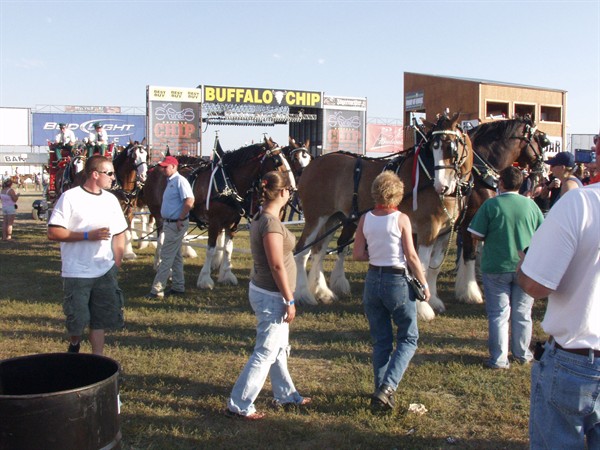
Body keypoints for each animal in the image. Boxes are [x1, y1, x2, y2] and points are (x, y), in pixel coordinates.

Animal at [292, 114, 472, 322]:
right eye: (432, 147)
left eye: (451, 146)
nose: (441, 186)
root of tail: (312, 165)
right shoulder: (428, 230)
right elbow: (422, 267)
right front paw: (423, 309)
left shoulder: (443, 233)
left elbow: (434, 268)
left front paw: (433, 300)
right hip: (316, 218)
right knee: (301, 252)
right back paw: (304, 295)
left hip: (333, 219)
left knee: (318, 252)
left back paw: (322, 292)